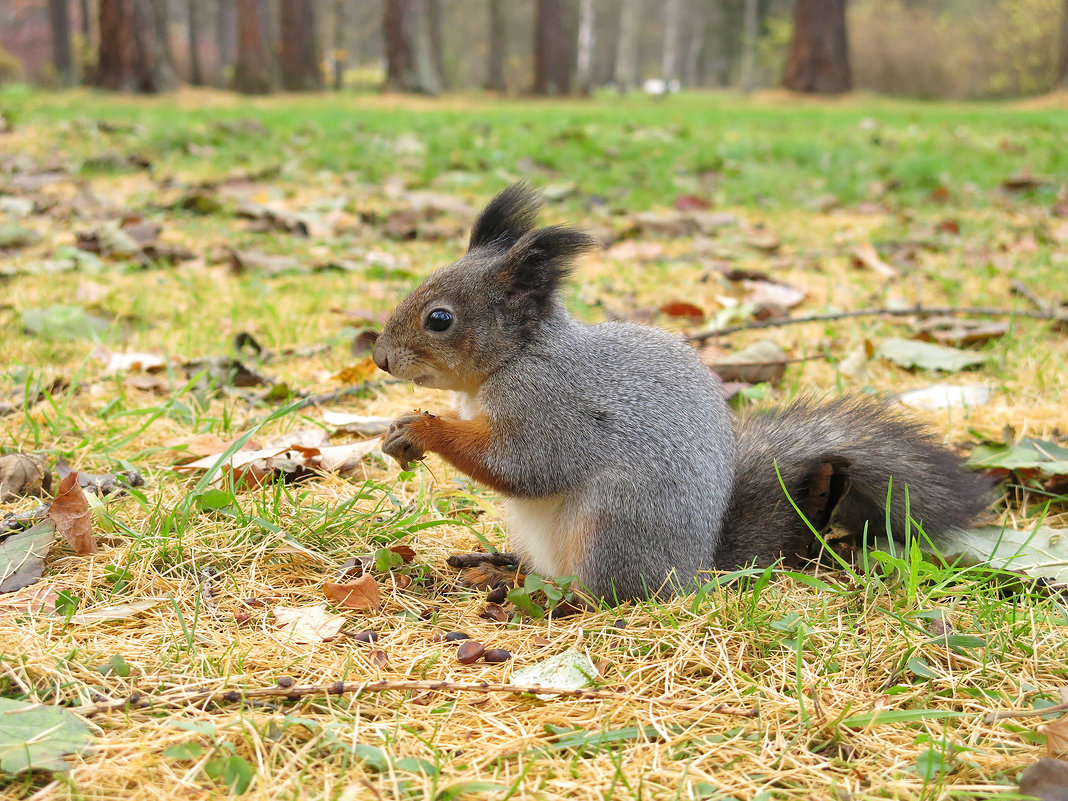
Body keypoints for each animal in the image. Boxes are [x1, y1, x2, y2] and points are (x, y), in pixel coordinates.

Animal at [371, 186, 986, 602]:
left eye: (440, 319)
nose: (379, 357)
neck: (516, 358)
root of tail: (694, 569)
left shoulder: (552, 405)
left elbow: (526, 465)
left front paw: (423, 427)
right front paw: (397, 430)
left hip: (612, 527)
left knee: (603, 593)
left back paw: (549, 594)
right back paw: (498, 567)